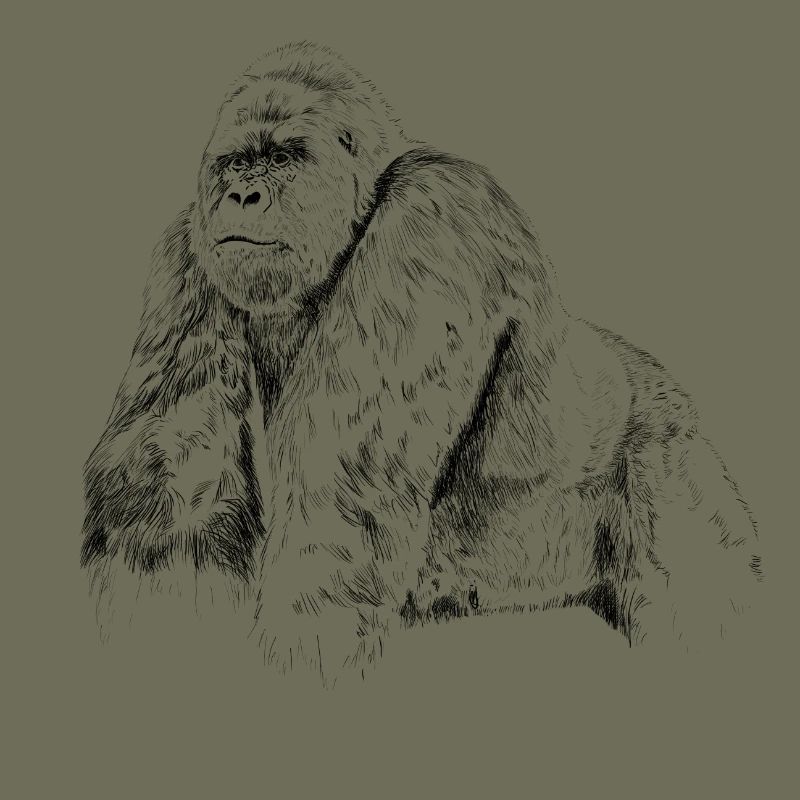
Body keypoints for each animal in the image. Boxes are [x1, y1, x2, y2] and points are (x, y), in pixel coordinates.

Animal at [81, 42, 762, 680]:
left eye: (284, 159)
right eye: (236, 161)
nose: (242, 195)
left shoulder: (430, 220)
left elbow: (340, 490)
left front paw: (306, 648)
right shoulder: (184, 249)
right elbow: (168, 483)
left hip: (671, 460)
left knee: (697, 606)